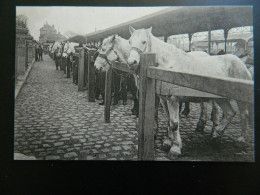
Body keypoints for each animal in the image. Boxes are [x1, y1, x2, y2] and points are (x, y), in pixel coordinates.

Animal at [127, 26, 253, 158]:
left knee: (243, 114)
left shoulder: (173, 99)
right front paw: (168, 142)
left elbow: (174, 123)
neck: (167, 67)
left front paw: (175, 148)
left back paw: (241, 139)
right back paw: (216, 134)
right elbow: (168, 120)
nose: (131, 62)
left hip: (239, 99)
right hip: (221, 98)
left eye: (144, 42)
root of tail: (242, 62)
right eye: (129, 41)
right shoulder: (164, 99)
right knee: (230, 113)